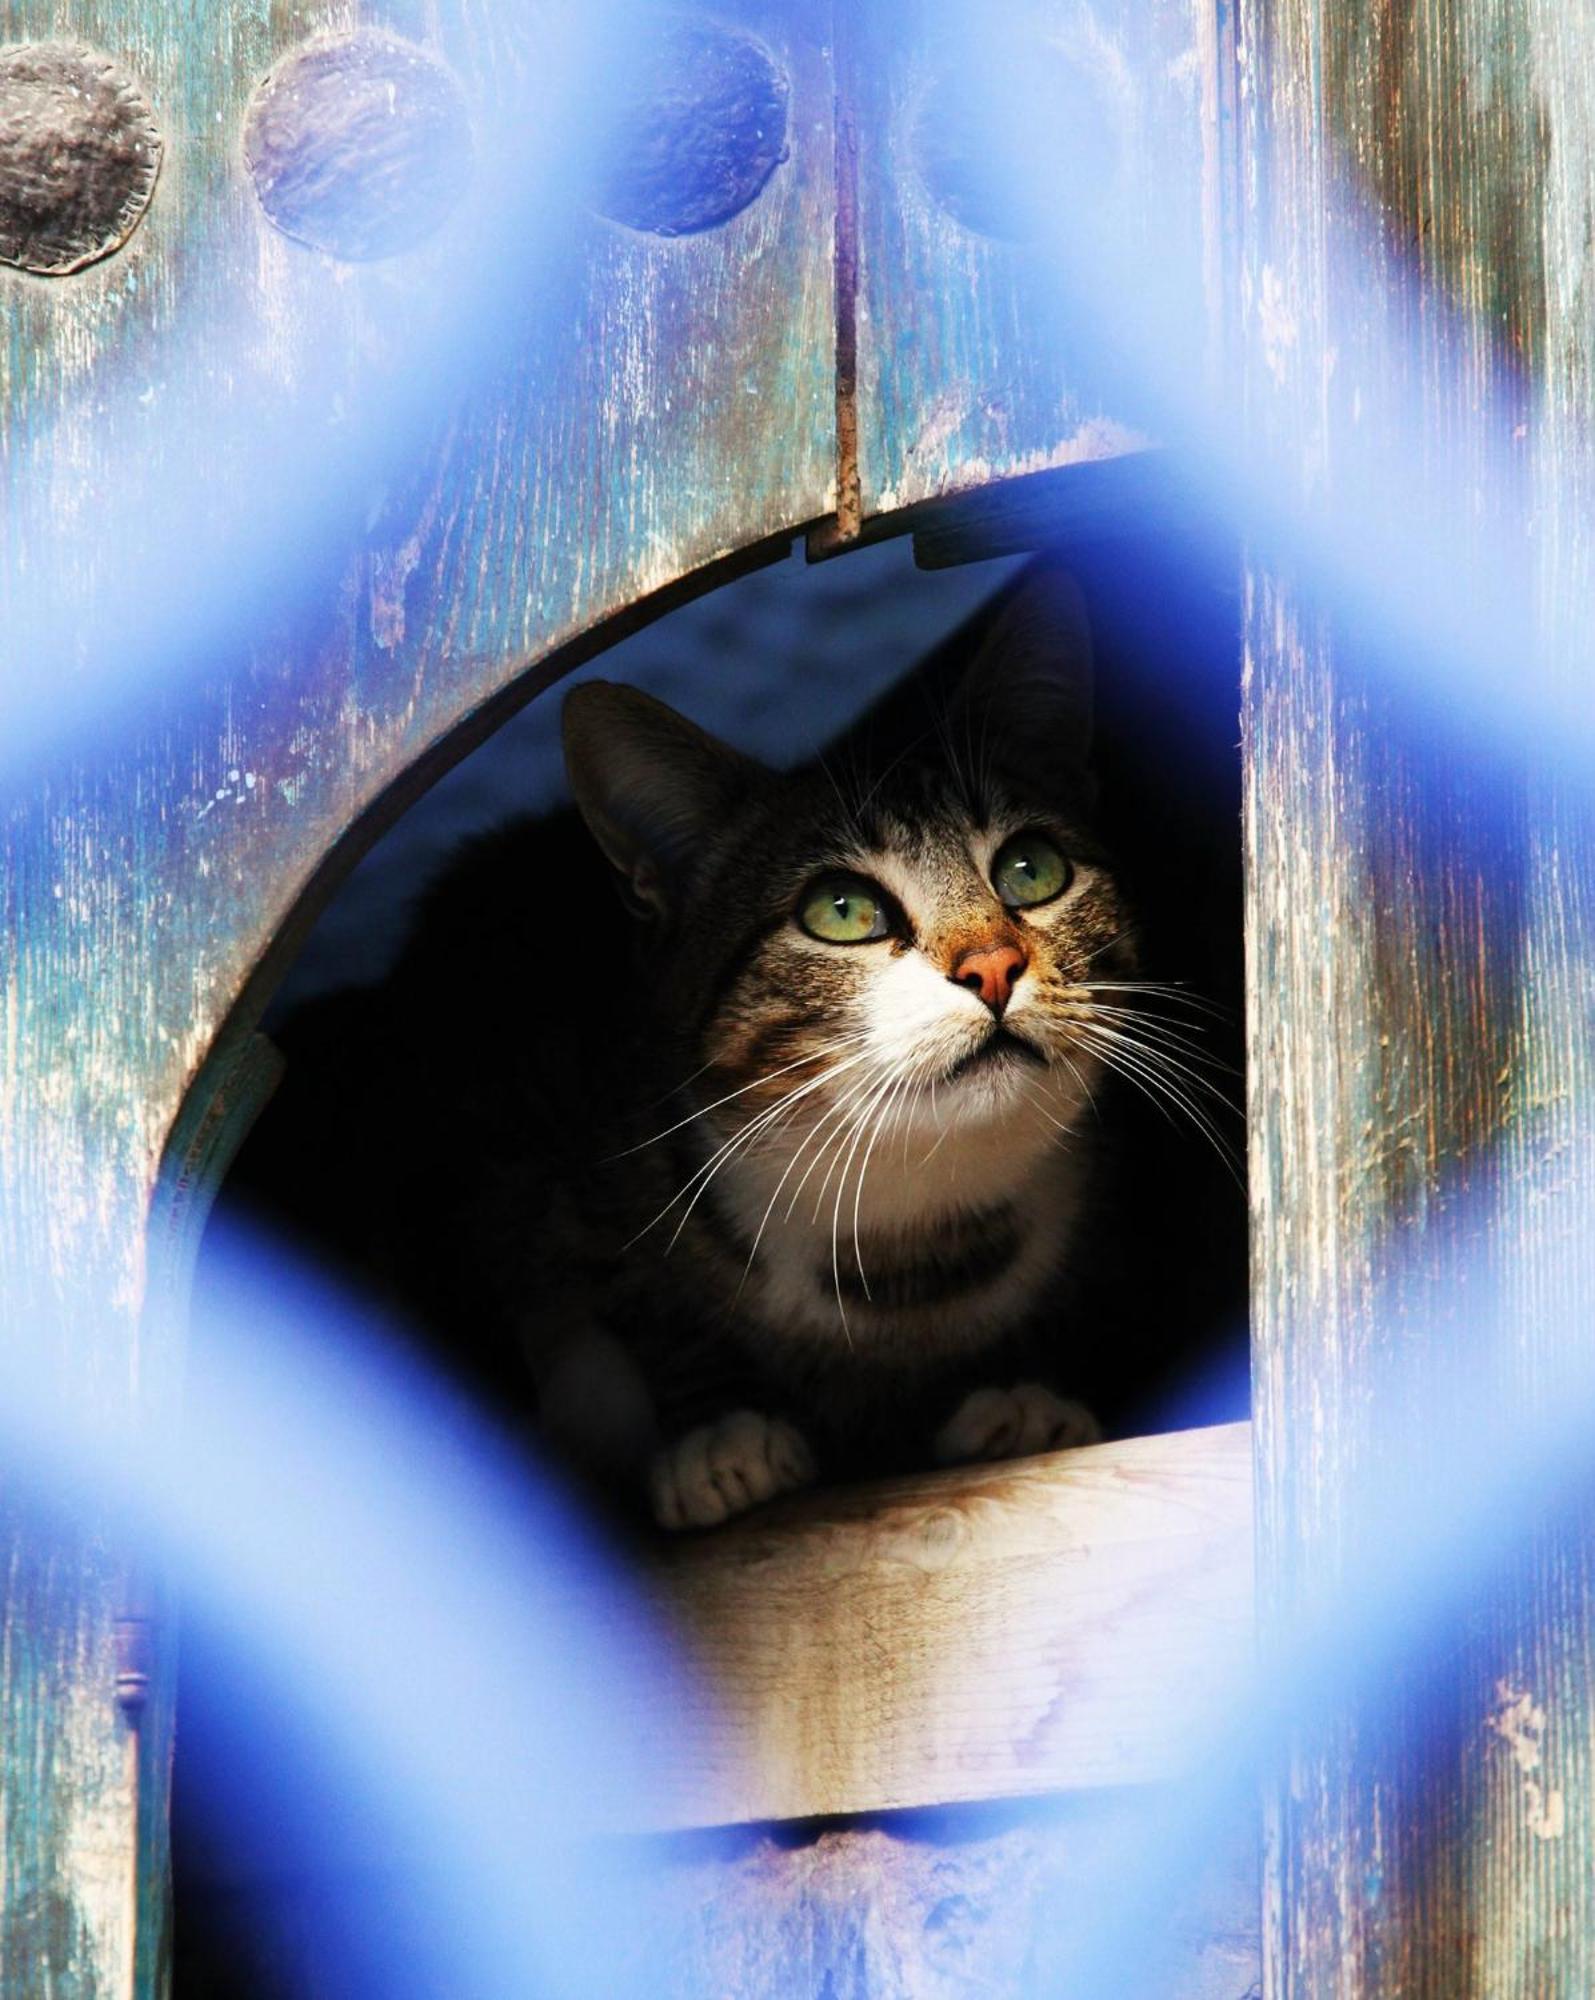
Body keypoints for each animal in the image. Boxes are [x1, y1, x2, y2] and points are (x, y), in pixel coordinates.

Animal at [261, 564, 1159, 1528]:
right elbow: (618, 1306)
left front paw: (1022, 1395)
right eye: (841, 911)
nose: (992, 967)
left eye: (1031, 869)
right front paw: (721, 1433)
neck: (907, 1245)